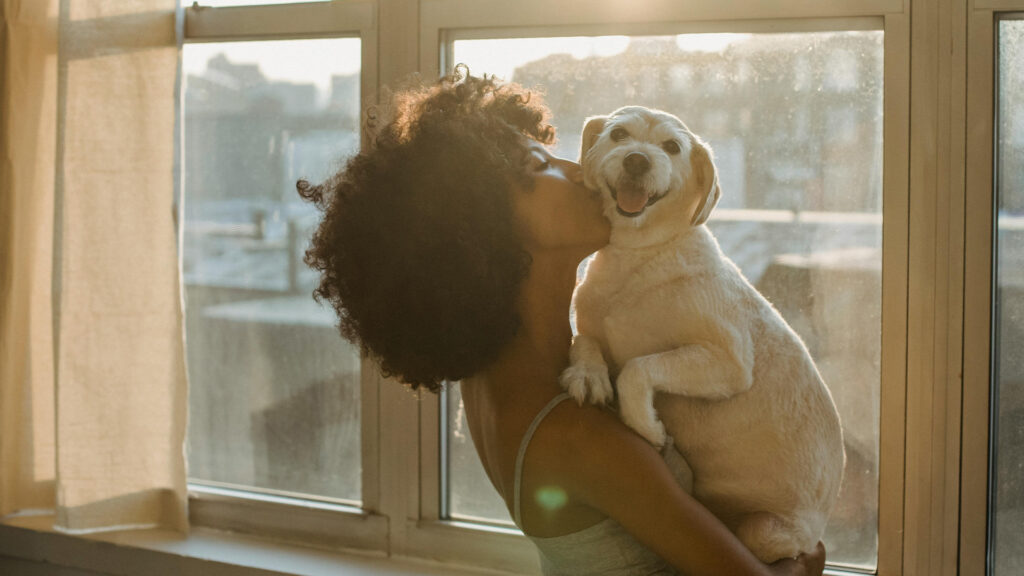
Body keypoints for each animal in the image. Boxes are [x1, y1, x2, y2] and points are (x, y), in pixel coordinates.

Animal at [565, 104, 843, 561]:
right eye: (619, 134)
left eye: (672, 147)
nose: (637, 160)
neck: (639, 256)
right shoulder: (592, 325)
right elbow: (584, 340)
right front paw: (587, 374)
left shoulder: (728, 361)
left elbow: (638, 368)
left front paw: (647, 427)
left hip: (765, 532)